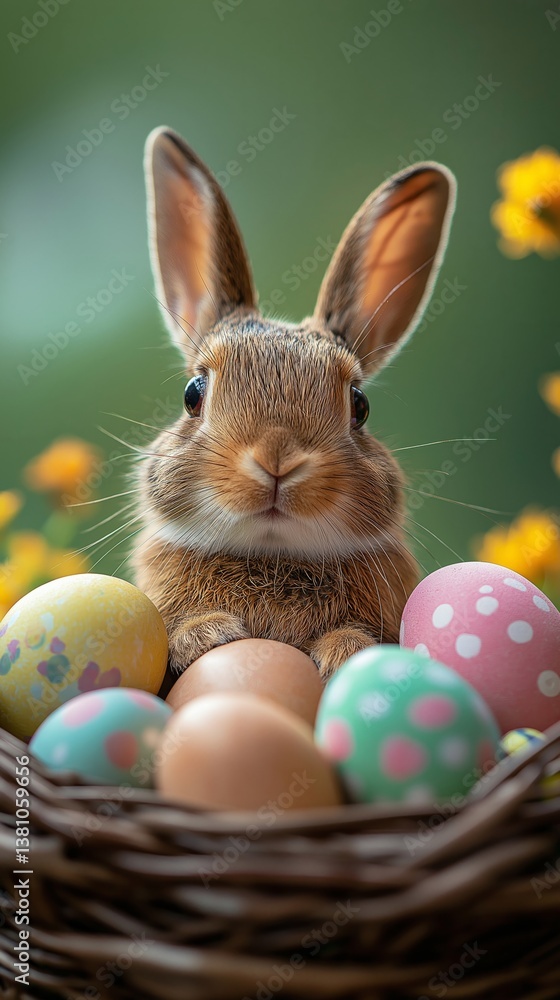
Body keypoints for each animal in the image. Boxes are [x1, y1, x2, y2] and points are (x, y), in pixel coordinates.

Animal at [132, 126, 456, 681]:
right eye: (193, 394)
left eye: (360, 406)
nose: (277, 459)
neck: (273, 556)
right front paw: (209, 635)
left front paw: (346, 649)